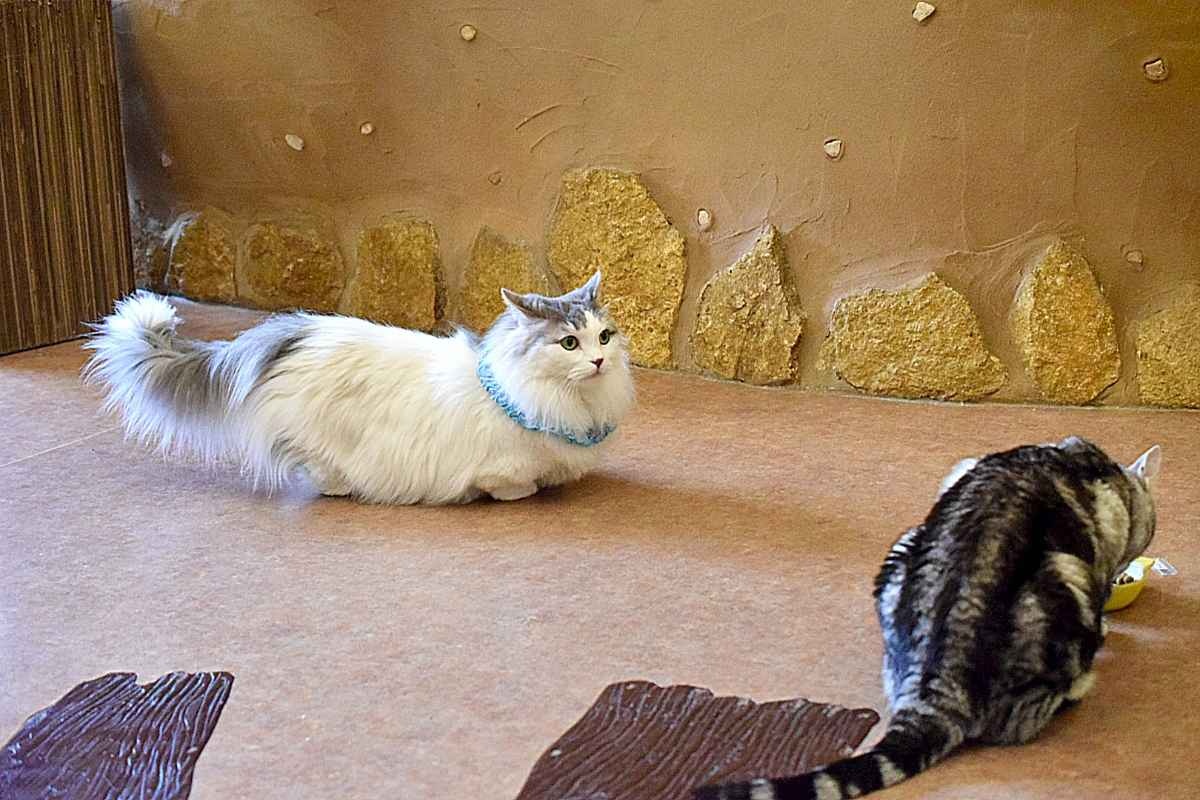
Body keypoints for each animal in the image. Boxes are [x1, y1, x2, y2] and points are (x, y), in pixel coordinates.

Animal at [83, 272, 635, 504]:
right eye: (568, 343)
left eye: (604, 336)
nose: (599, 360)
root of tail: (289, 333)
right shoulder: (499, 468)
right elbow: (514, 486)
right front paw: (526, 491)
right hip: (313, 437)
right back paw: (340, 485)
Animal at [696, 436, 1162, 800]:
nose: (1129, 564)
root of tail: (937, 687)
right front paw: (1108, 622)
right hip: (1064, 576)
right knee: (1027, 717)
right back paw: (1078, 689)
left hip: (902, 551)